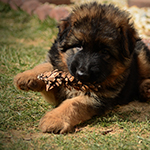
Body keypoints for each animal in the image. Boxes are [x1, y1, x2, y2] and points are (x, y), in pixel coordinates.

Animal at [14, 2, 150, 134]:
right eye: (79, 46)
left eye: (105, 52)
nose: (82, 74)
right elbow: (48, 66)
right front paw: (27, 77)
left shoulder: (99, 98)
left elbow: (74, 104)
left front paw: (54, 119)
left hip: (141, 53)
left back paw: (146, 88)